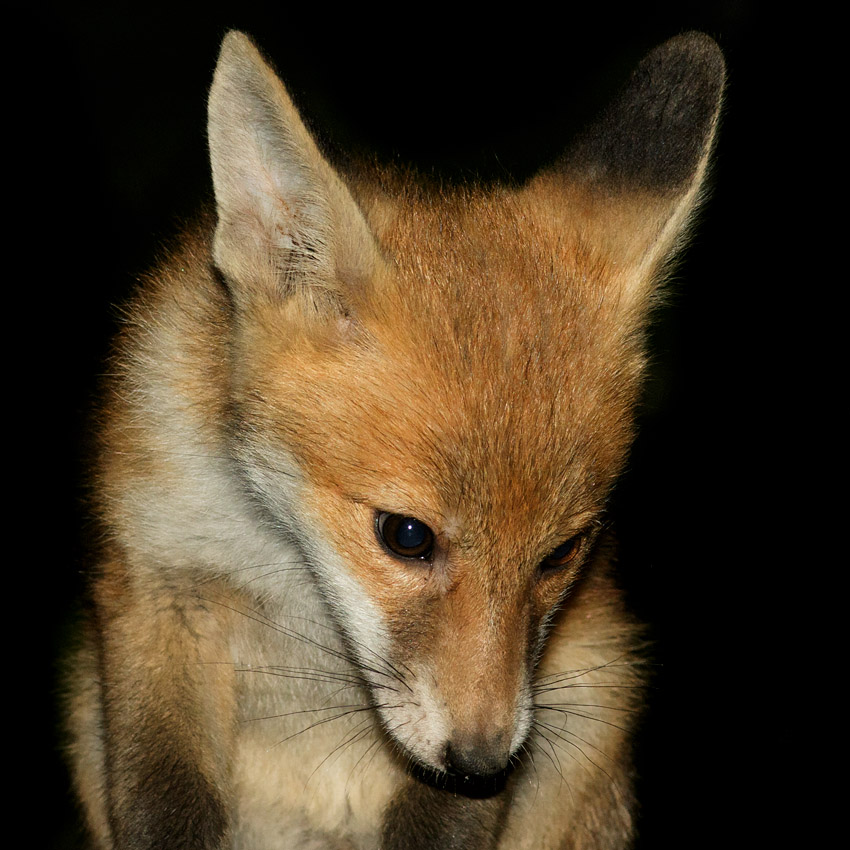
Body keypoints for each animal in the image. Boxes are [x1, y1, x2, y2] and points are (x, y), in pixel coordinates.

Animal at [64, 29, 724, 850]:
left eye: (562, 554)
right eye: (407, 536)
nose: (480, 761)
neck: (289, 568)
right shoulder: (159, 595)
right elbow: (162, 807)